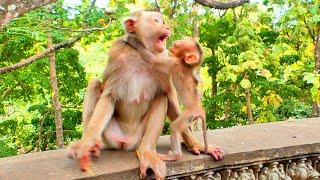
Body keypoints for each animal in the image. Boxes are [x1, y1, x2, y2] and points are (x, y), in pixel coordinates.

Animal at [67, 10, 222, 179]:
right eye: (156, 21)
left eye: (162, 21)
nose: (167, 27)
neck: (138, 56)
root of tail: (126, 143)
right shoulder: (117, 56)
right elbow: (109, 96)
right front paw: (86, 144)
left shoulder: (164, 60)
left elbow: (169, 95)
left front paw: (196, 144)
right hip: (109, 136)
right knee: (95, 84)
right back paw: (92, 144)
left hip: (139, 138)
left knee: (162, 97)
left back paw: (148, 152)